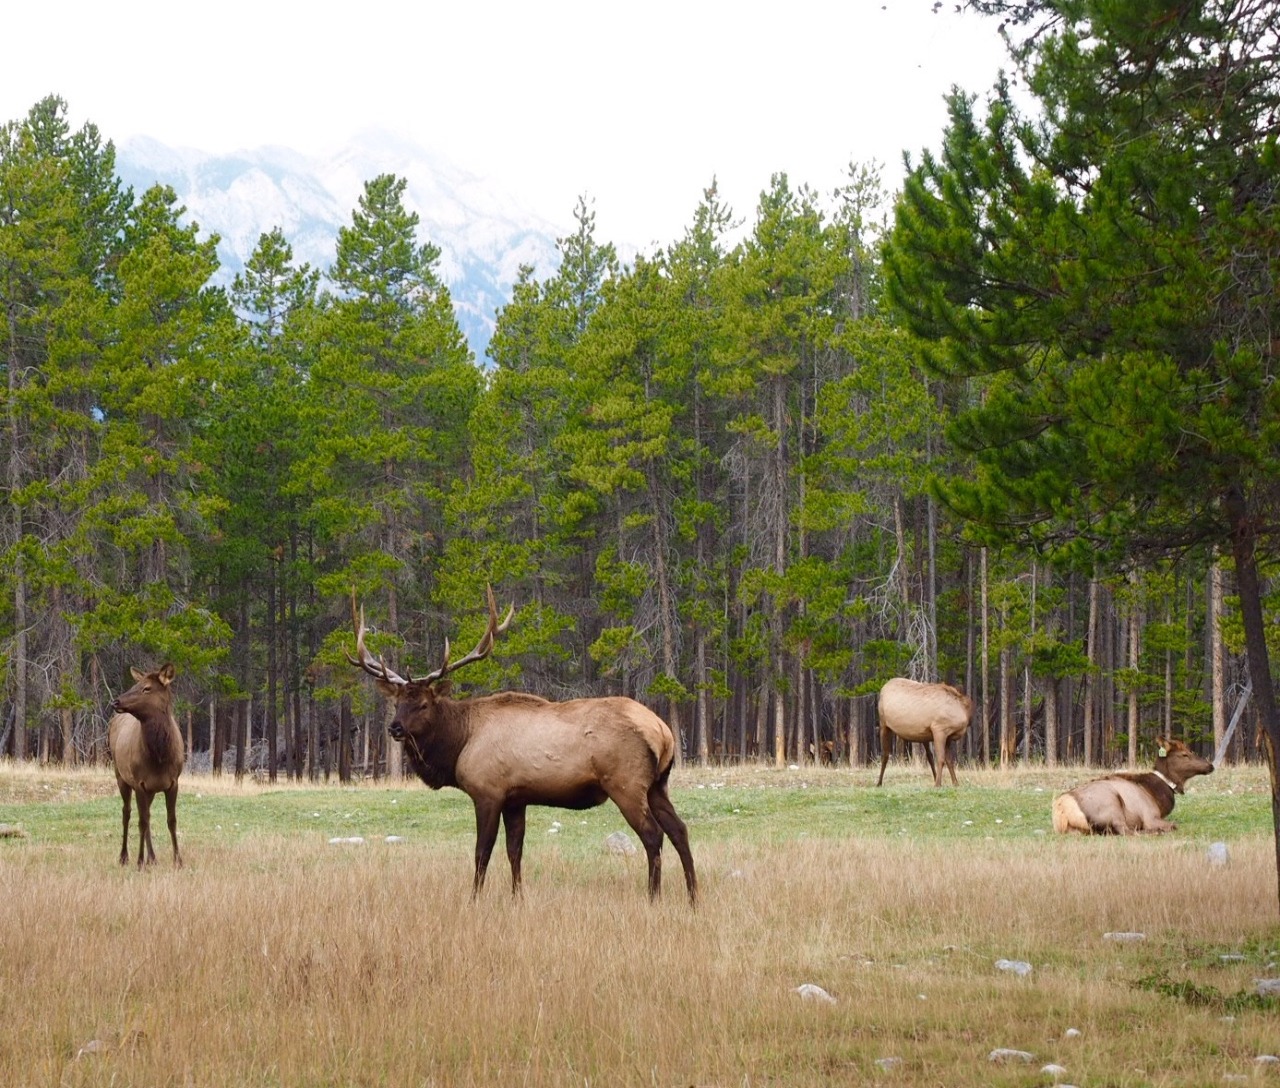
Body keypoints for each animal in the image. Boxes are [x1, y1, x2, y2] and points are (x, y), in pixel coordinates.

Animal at [107, 660, 185, 865]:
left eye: (147, 688)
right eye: (135, 685)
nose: (116, 701)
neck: (159, 757)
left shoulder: (173, 782)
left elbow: (171, 820)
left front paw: (178, 860)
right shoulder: (139, 782)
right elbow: (141, 822)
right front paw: (140, 861)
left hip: (149, 789)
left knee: (146, 814)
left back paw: (153, 857)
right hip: (120, 775)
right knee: (127, 812)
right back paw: (124, 856)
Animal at [345, 586, 696, 901]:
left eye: (423, 704)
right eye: (397, 702)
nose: (395, 728)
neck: (459, 743)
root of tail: (663, 731)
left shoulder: (487, 791)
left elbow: (482, 852)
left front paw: (474, 899)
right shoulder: (516, 799)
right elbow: (515, 851)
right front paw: (517, 897)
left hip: (626, 782)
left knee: (653, 835)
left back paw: (653, 896)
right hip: (658, 784)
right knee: (680, 830)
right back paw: (693, 895)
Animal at [1054, 732, 1213, 834]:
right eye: (1185, 754)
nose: (1210, 765)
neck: (1157, 796)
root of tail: (1062, 810)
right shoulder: (1150, 816)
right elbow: (1175, 825)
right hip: (1112, 805)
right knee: (1127, 831)